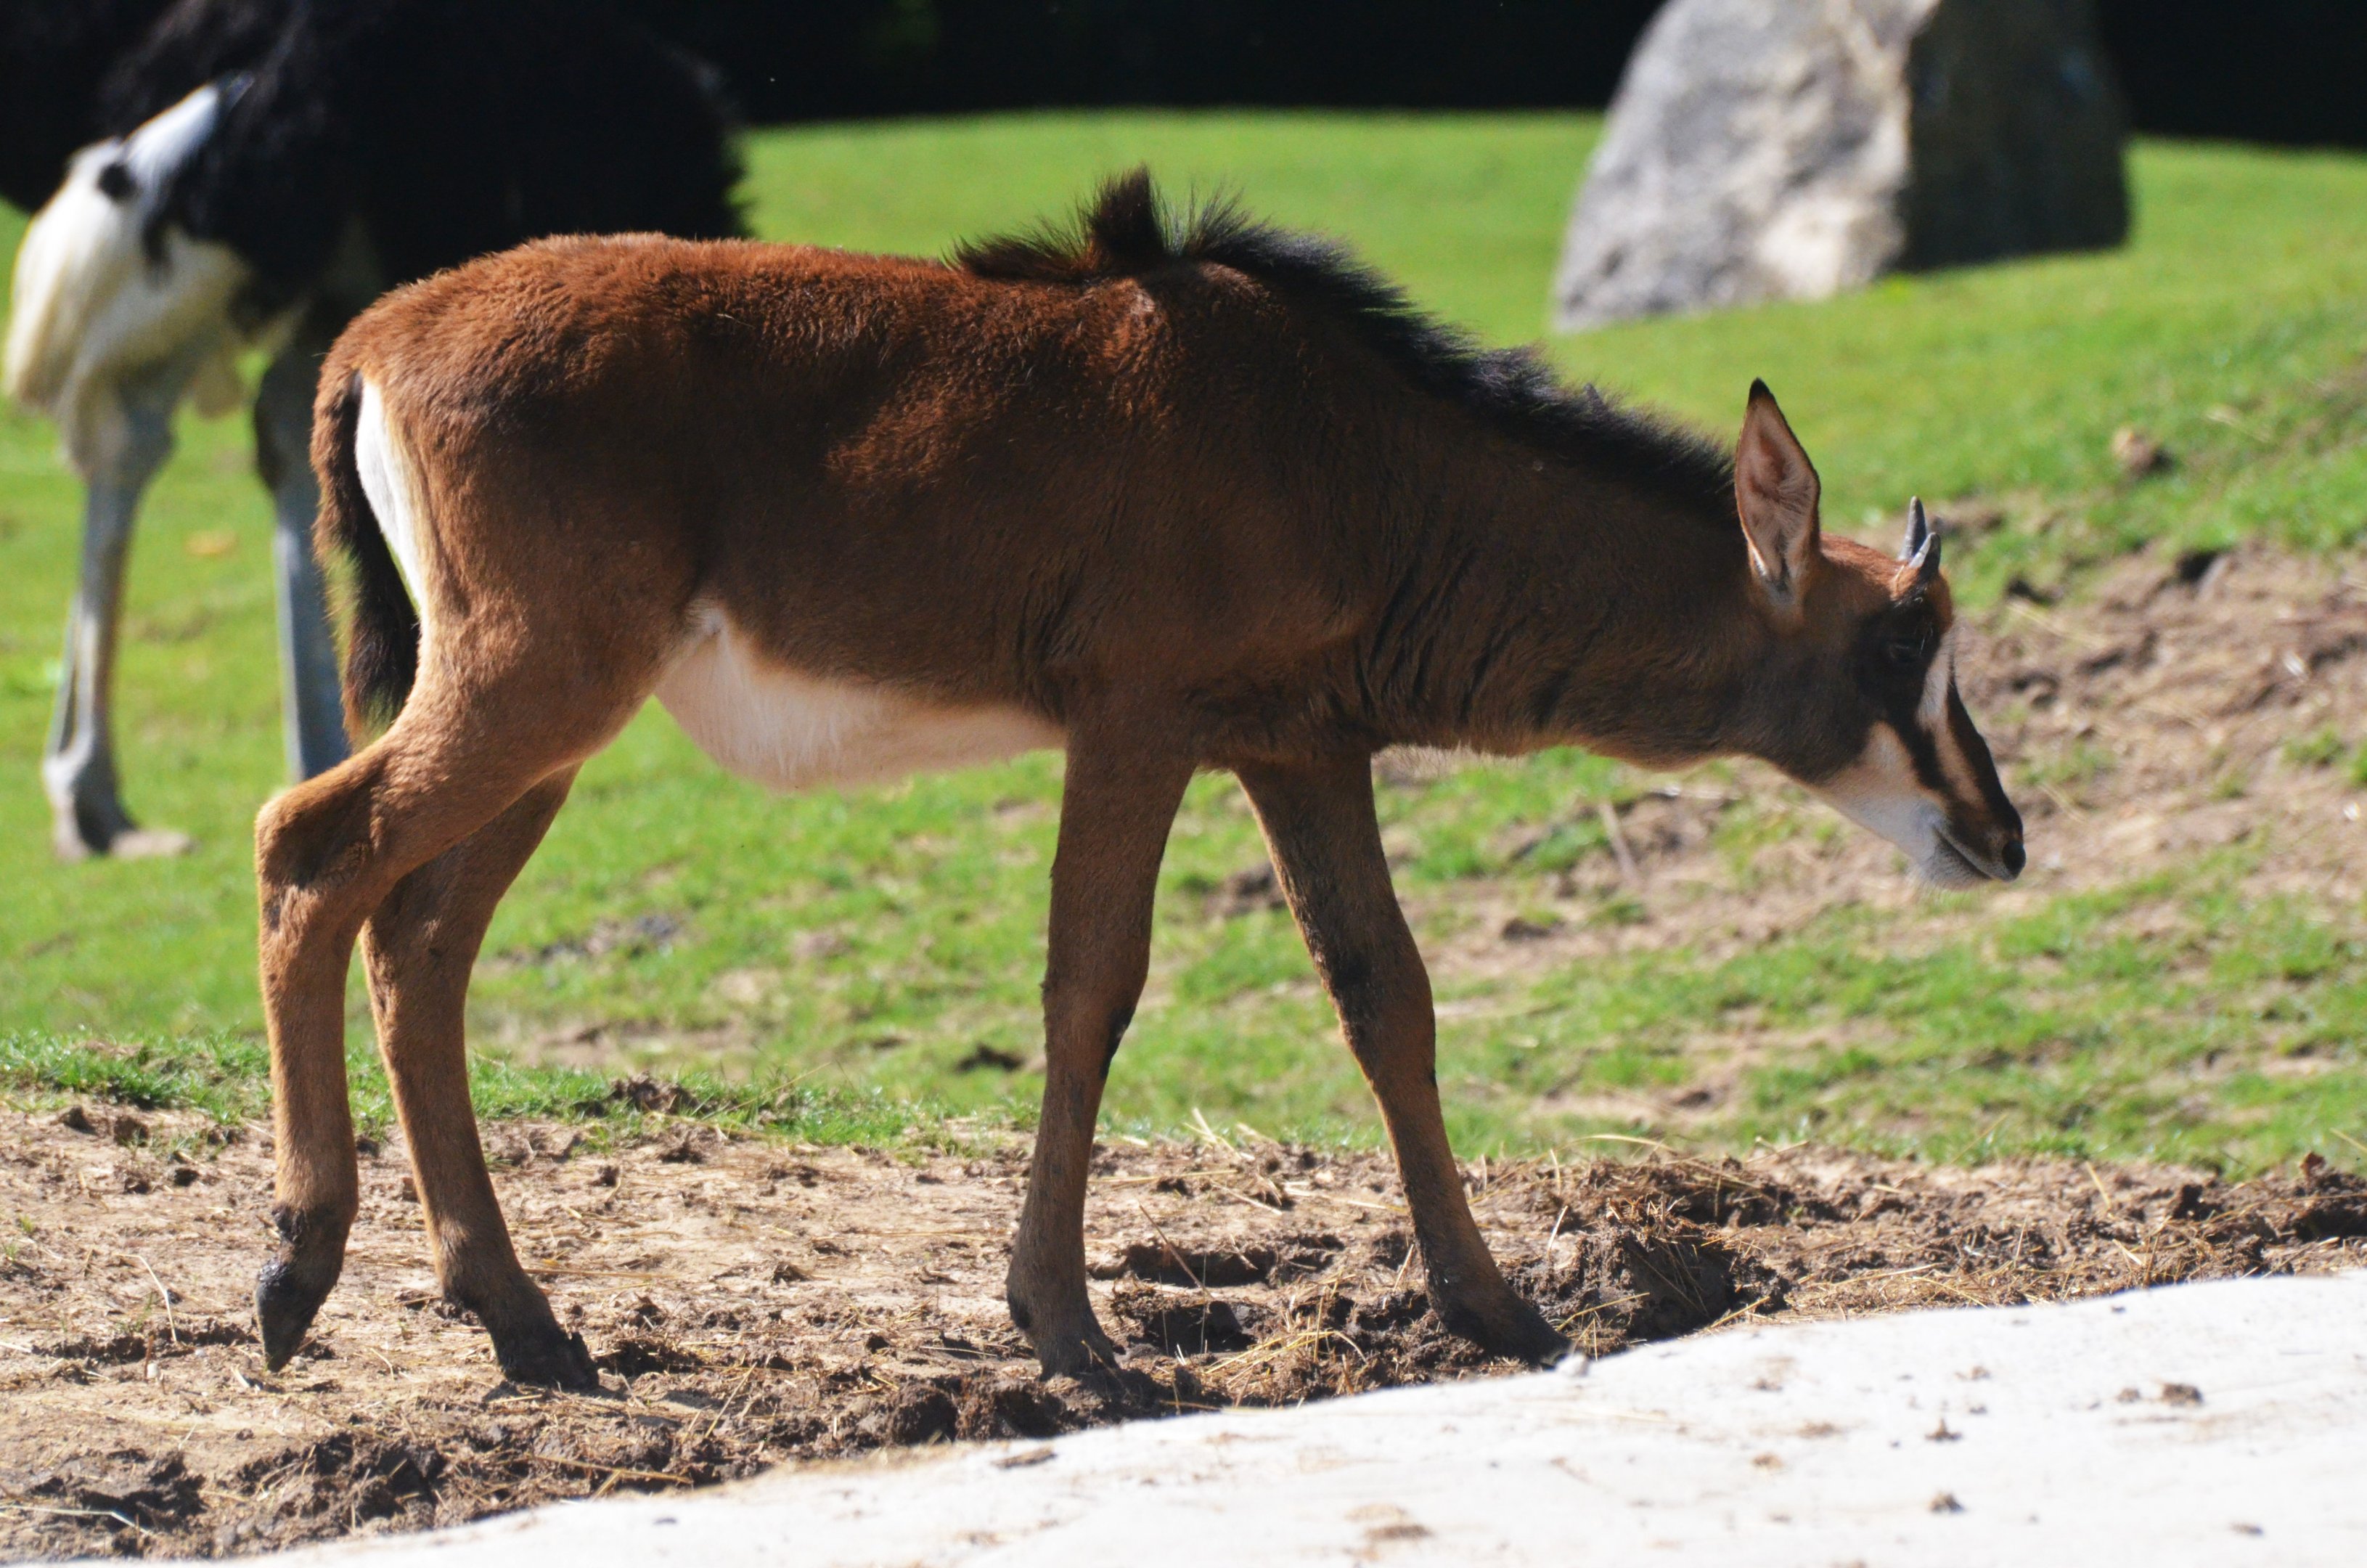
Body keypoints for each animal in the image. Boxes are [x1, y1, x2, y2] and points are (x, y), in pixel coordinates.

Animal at [254, 173, 2023, 1386]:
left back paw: (521, 1323)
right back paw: (296, 1273)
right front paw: (1065, 1328)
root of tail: (373, 341)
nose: (1997, 836)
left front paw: (1498, 1307)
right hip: (533, 681)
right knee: (305, 845)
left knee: (416, 937)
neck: (1349, 452)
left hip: (545, 727)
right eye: (1896, 646)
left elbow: (1385, 994)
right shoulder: (1136, 721)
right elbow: (1089, 985)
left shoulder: (1297, 744)